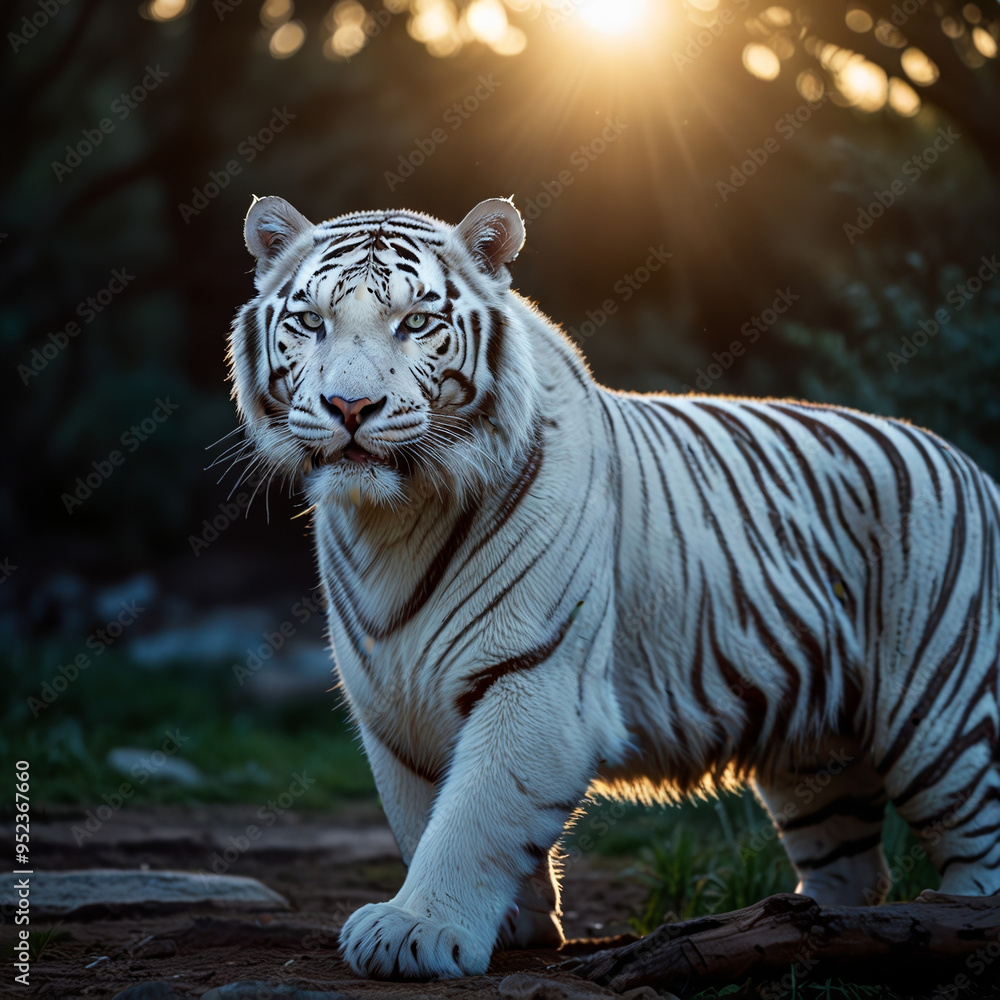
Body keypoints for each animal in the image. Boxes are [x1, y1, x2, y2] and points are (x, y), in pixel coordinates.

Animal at [229, 194, 1000, 981]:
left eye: (415, 322)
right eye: (310, 321)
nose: (349, 407)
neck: (393, 519)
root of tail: (970, 467)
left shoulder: (539, 679)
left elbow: (473, 814)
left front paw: (418, 929)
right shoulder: (393, 700)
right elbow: (423, 815)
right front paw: (510, 926)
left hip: (941, 715)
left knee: (979, 842)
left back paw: (955, 923)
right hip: (814, 751)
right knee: (851, 866)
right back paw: (813, 930)